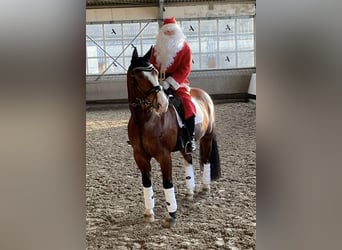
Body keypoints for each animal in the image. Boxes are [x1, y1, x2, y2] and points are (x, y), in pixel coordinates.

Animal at [127, 47, 220, 229]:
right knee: (188, 161)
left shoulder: (164, 156)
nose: (162, 104)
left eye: (155, 73)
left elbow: (167, 183)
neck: (145, 120)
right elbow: (146, 183)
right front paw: (149, 213)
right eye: (139, 76)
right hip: (186, 146)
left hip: (207, 138)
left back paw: (205, 187)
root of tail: (204, 94)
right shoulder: (139, 156)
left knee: (206, 160)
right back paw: (190, 191)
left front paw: (171, 215)